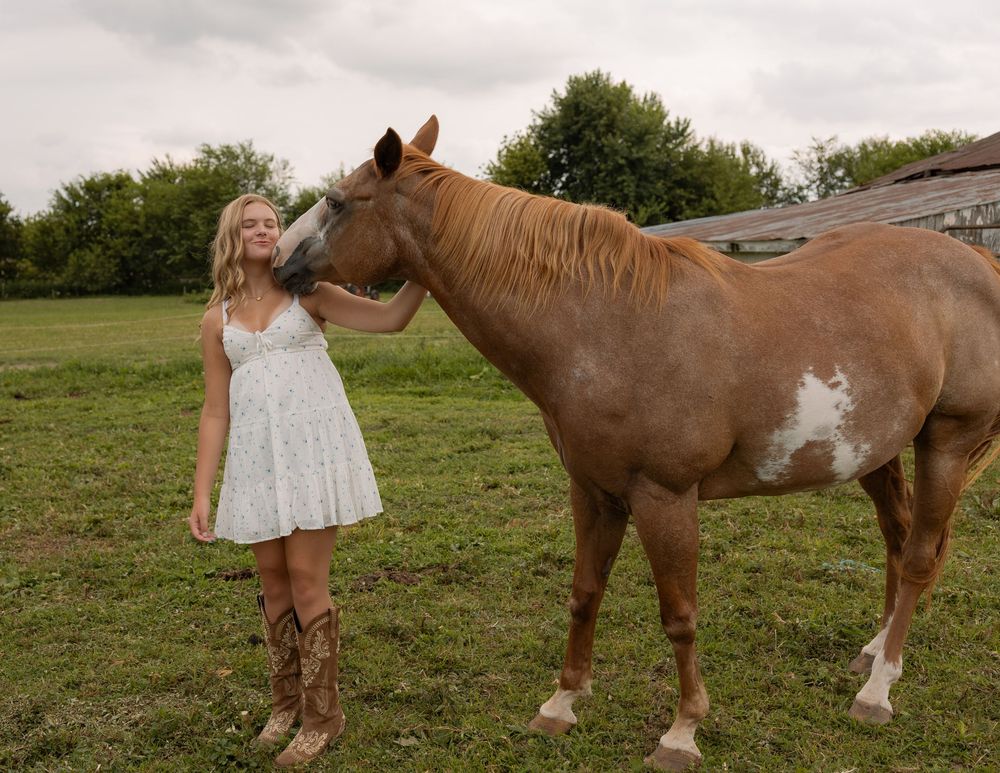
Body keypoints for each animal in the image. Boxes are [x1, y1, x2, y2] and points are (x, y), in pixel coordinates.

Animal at [272, 116, 1000, 770]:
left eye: (336, 201)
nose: (277, 261)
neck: (606, 324)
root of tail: (974, 258)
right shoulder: (593, 491)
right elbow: (583, 592)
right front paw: (561, 703)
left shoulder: (665, 498)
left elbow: (678, 614)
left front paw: (682, 731)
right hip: (879, 452)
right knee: (897, 541)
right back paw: (875, 654)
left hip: (947, 442)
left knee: (919, 558)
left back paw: (878, 690)